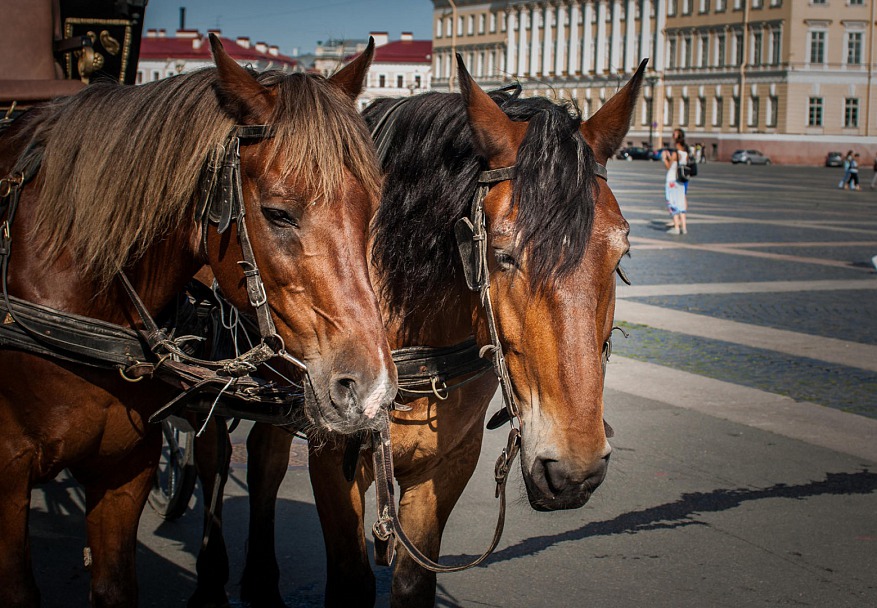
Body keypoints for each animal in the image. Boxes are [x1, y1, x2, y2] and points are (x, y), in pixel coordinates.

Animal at [192, 58, 644, 608]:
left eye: (620, 254)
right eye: (502, 254)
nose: (575, 469)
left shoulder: (449, 462)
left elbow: (413, 579)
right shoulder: (334, 456)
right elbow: (350, 579)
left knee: (265, 456)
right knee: (215, 455)